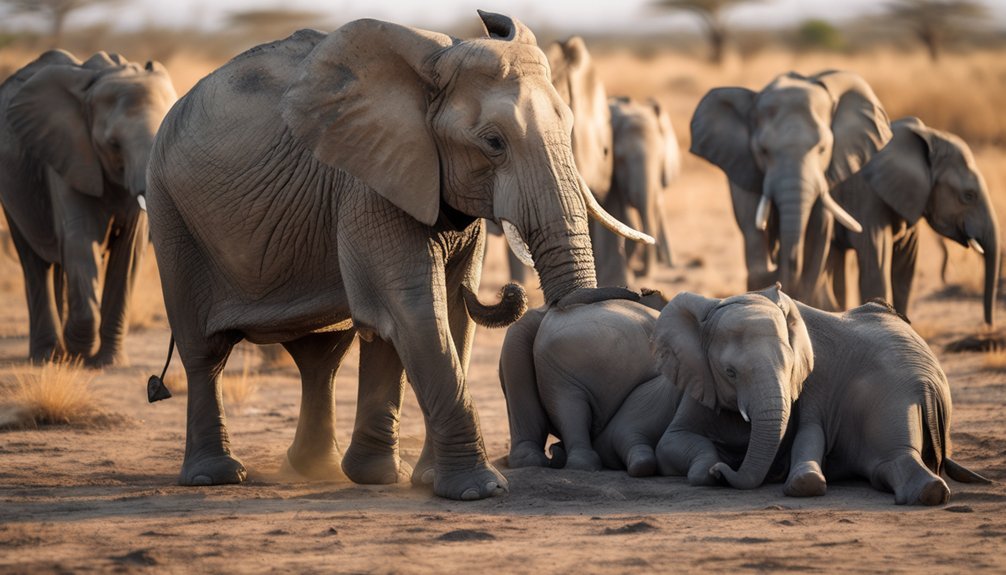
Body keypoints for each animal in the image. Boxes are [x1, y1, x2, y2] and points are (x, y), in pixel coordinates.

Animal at [0, 49, 177, 366]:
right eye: (113, 144)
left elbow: (129, 251)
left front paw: (108, 362)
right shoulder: (67, 151)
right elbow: (80, 238)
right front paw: (79, 353)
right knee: (34, 263)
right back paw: (47, 356)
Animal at [146, 13, 652, 500]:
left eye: (571, 130)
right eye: (493, 143)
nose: (506, 293)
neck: (433, 65)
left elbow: (447, 316)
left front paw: (423, 480)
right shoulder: (370, 184)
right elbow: (416, 309)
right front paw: (478, 490)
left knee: (325, 354)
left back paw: (330, 471)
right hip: (171, 212)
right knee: (204, 352)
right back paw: (217, 476)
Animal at [653, 286, 989, 505]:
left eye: (790, 366)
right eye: (729, 372)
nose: (725, 469)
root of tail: (927, 385)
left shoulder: (811, 387)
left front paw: (718, 469)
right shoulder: (702, 378)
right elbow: (670, 442)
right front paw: (712, 467)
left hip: (891, 402)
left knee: (896, 457)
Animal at [690, 70, 891, 308]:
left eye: (823, 149)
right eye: (763, 151)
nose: (778, 278)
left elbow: (819, 230)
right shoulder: (745, 169)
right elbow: (753, 229)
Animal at [829, 117, 1000, 326]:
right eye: (969, 196)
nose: (989, 324)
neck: (929, 137)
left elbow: (905, 272)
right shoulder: (866, 198)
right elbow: (875, 268)